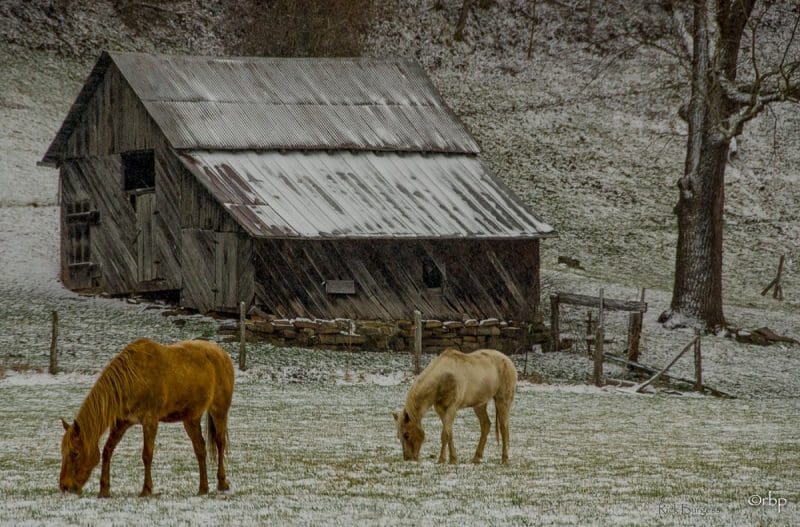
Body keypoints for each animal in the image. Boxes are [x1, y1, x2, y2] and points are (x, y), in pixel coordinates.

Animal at [59, 338, 234, 497]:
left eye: (75, 453)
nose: (64, 486)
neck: (133, 378)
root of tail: (222, 353)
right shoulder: (122, 423)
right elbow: (107, 451)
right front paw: (104, 490)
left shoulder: (150, 421)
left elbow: (147, 454)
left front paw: (146, 490)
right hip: (191, 418)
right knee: (200, 449)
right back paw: (203, 488)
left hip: (219, 410)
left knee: (220, 443)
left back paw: (222, 483)